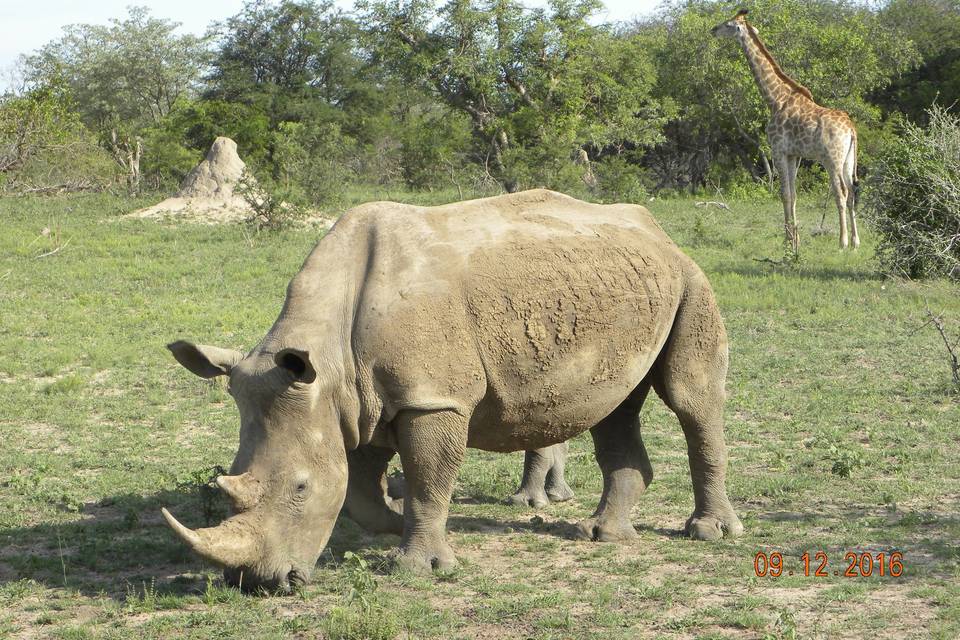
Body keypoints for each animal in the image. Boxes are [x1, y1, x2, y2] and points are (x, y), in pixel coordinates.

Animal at [708, 10, 860, 251]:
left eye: (728, 24)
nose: (713, 30)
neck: (774, 99)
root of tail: (851, 129)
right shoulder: (793, 154)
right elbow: (794, 194)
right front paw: (794, 238)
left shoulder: (777, 149)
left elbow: (784, 194)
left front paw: (788, 241)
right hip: (848, 159)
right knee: (853, 192)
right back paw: (856, 242)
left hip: (832, 158)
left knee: (841, 193)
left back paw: (842, 242)